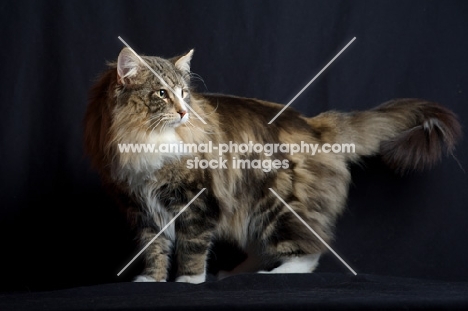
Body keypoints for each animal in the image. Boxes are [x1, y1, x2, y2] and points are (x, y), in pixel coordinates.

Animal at [84, 47, 460, 284]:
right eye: (162, 93)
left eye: (183, 93)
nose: (184, 111)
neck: (143, 137)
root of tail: (314, 124)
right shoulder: (142, 207)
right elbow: (155, 249)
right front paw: (152, 279)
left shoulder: (197, 201)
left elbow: (192, 247)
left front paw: (188, 281)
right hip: (249, 210)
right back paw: (235, 273)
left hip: (277, 206)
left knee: (311, 249)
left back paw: (274, 274)